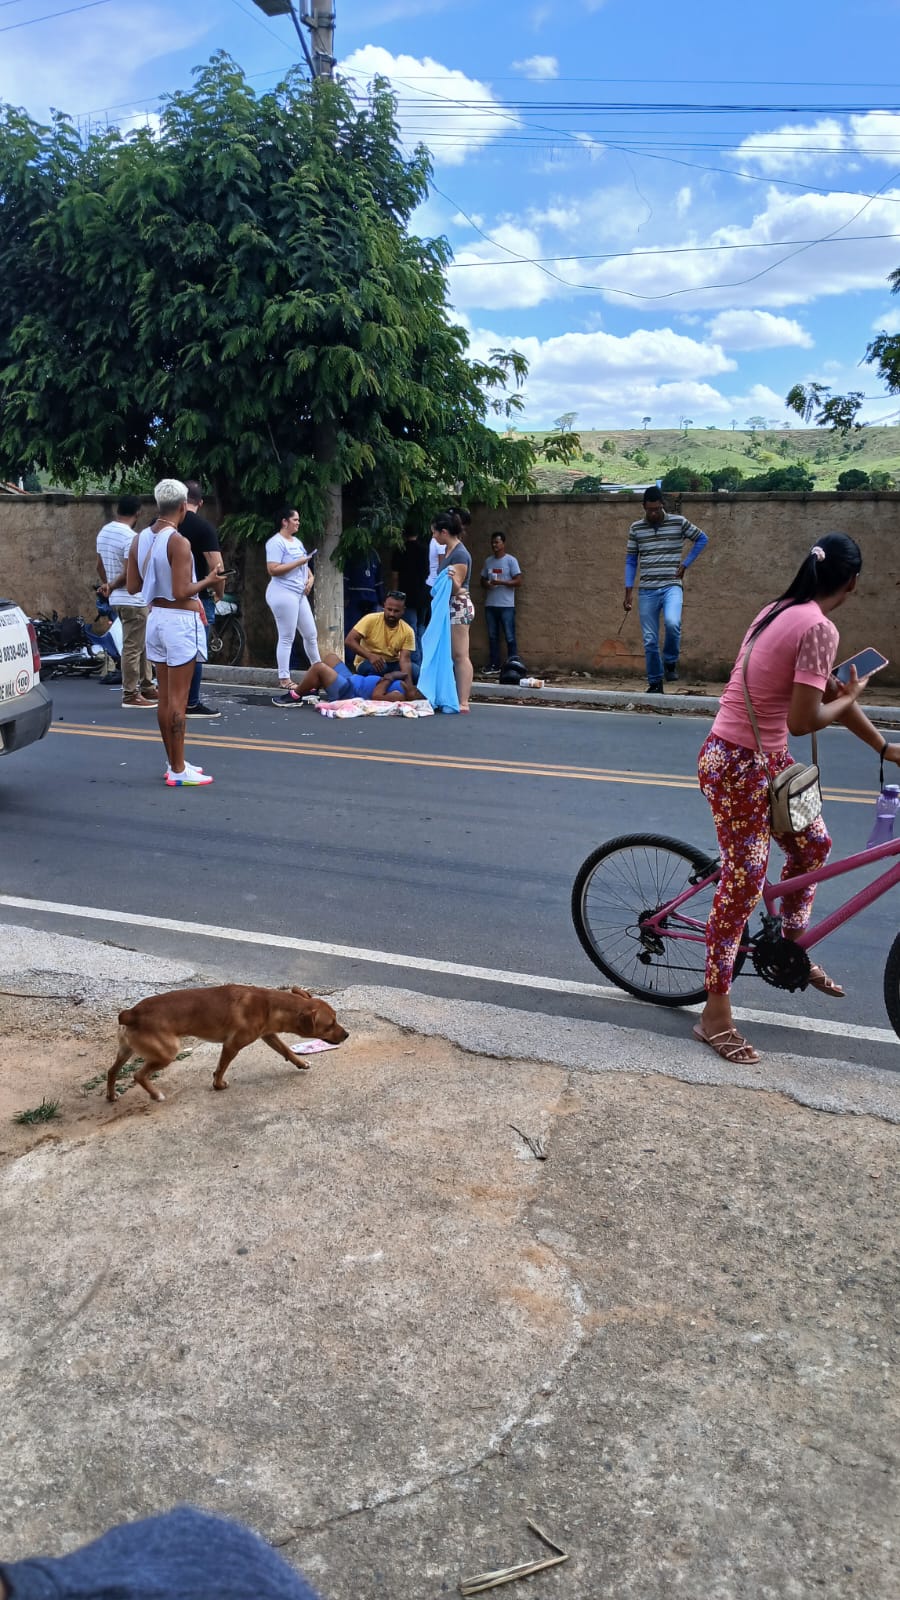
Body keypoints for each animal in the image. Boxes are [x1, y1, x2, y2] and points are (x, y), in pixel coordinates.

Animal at [106, 984, 348, 1103]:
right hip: (167, 1053)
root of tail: (130, 1013)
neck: (270, 1005)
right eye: (330, 1024)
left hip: (125, 1050)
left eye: (336, 1018)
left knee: (111, 1071)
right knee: (138, 1075)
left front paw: (301, 1063)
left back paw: (111, 1096)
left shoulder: (268, 1035)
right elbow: (221, 1067)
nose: (347, 1035)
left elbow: (286, 1050)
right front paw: (218, 1085)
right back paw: (155, 1095)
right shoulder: (232, 1045)